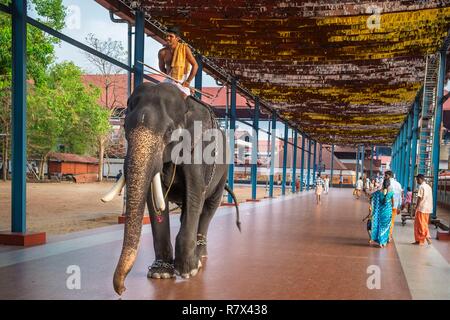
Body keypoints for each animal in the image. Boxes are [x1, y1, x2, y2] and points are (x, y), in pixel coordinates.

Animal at [108, 82, 243, 296]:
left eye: (169, 131)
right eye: (125, 127)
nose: (122, 290)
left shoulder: (198, 154)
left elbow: (195, 194)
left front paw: (189, 271)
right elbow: (155, 201)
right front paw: (160, 274)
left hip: (223, 173)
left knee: (208, 208)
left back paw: (201, 257)